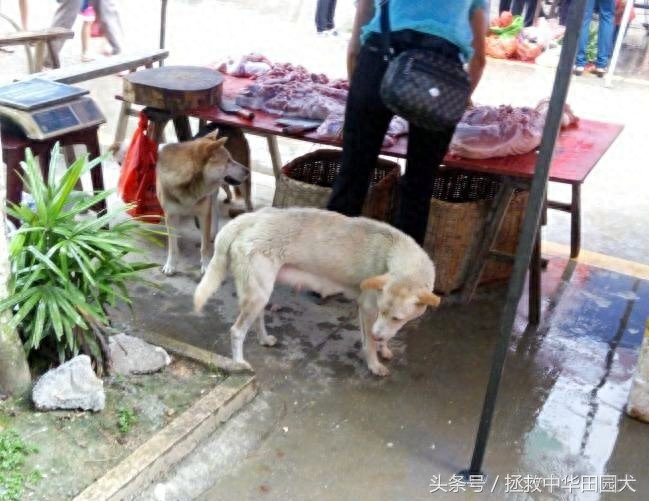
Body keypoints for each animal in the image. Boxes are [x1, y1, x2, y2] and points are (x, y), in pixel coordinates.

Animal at [190, 205, 438, 374]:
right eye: (385, 312)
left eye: (397, 318)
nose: (378, 336)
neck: (397, 252)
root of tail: (252, 217)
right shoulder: (368, 309)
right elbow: (368, 343)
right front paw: (374, 363)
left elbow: (381, 335)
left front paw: (383, 347)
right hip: (257, 294)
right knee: (237, 331)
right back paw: (239, 363)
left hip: (260, 293)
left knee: (257, 319)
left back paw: (264, 339)